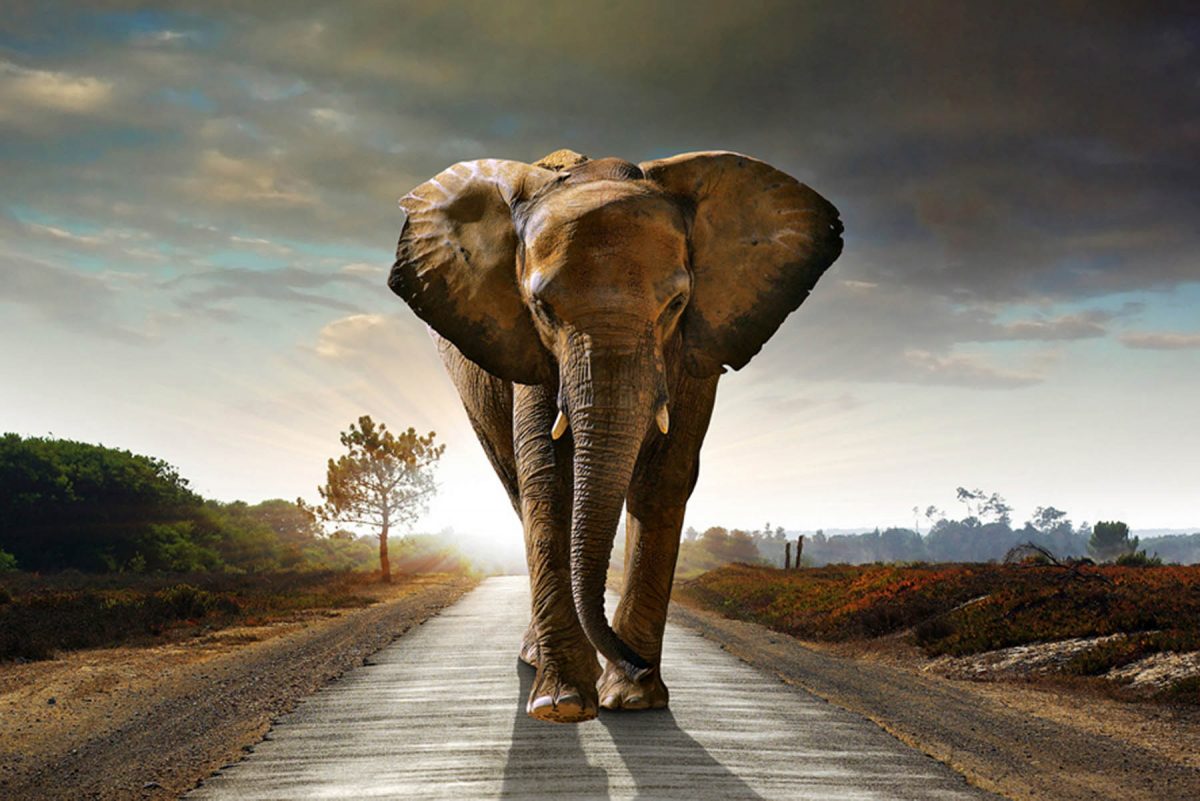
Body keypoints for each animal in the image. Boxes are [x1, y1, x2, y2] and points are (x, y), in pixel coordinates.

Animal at [389, 148, 842, 723]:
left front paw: (633, 700)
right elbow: (549, 480)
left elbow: (663, 478)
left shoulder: (695, 350)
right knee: (517, 487)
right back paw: (537, 660)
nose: (636, 663)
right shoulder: (530, 352)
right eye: (542, 309)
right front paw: (563, 705)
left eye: (676, 304)